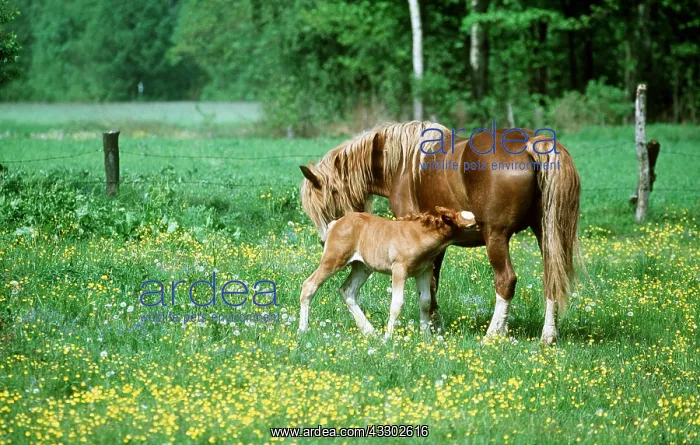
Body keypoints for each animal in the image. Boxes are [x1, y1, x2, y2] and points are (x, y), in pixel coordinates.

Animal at [298, 207, 478, 338]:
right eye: (470, 226)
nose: (483, 229)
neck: (418, 236)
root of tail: (336, 223)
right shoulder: (399, 269)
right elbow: (397, 304)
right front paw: (388, 338)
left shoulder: (424, 271)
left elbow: (425, 302)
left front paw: (426, 338)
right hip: (334, 259)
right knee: (309, 285)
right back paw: (302, 329)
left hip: (362, 266)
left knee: (347, 290)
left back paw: (369, 331)